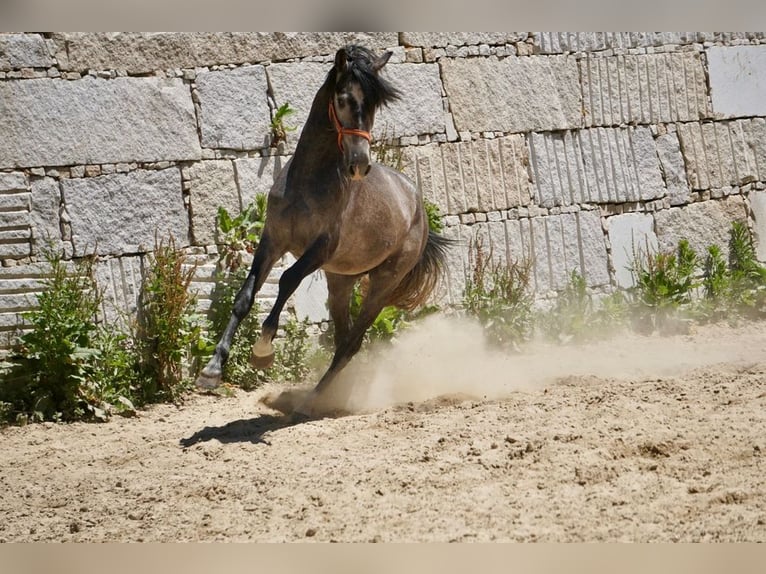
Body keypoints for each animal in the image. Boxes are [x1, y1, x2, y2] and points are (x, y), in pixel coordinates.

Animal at [195, 41, 452, 418]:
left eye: (374, 106)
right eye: (343, 99)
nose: (359, 165)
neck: (308, 182)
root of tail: (417, 204)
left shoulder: (320, 249)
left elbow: (287, 280)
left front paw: (263, 350)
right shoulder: (272, 241)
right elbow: (245, 297)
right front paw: (212, 371)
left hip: (382, 284)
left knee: (352, 343)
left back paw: (310, 402)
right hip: (340, 280)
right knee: (344, 338)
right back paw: (327, 398)